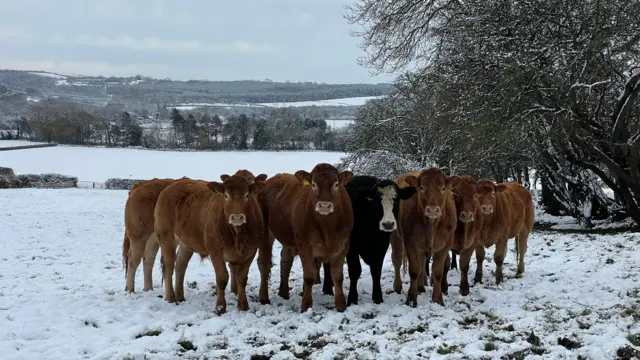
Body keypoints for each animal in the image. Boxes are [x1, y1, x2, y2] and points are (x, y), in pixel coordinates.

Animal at [155, 175, 264, 316]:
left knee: (180, 265)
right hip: (166, 237)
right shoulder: (215, 250)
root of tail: (170, 187)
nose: (237, 217)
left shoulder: (251, 251)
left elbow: (242, 278)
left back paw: (180, 296)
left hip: (187, 243)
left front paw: (243, 306)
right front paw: (220, 307)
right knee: (168, 267)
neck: (237, 235)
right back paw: (170, 297)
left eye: (246, 195)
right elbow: (222, 278)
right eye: (226, 195)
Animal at [260, 164, 356, 312]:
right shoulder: (305, 245)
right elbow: (309, 276)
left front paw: (341, 304)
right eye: (313, 184)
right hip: (265, 233)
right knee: (264, 264)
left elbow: (337, 276)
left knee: (286, 260)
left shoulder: (342, 244)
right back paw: (264, 298)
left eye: (336, 184)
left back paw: (283, 293)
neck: (327, 228)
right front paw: (306, 304)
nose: (324, 205)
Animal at [322, 174, 418, 304]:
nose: (388, 224)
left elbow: (376, 271)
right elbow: (355, 270)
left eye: (396, 199)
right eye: (377, 200)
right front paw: (352, 298)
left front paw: (377, 297)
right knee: (327, 263)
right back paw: (327, 288)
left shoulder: (381, 246)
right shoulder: (351, 247)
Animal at [388, 169, 458, 306]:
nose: (433, 210)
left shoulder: (445, 245)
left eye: (443, 188)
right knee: (397, 260)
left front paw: (437, 298)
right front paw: (411, 299)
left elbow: (437, 271)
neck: (431, 224)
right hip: (395, 235)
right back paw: (398, 287)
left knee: (422, 262)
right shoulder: (410, 243)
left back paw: (420, 287)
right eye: (421, 187)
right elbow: (414, 270)